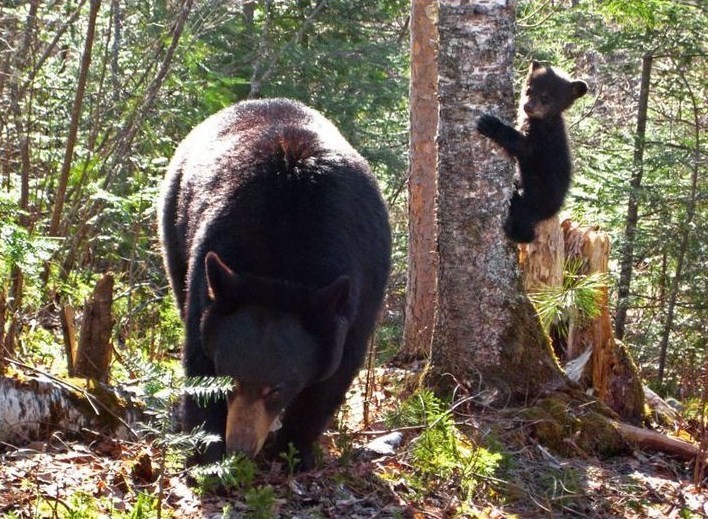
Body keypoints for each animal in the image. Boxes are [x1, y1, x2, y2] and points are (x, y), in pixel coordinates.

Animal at [158, 98, 392, 472]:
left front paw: (294, 450)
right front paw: (208, 452)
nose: (241, 447)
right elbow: (198, 357)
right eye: (230, 379)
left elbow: (334, 376)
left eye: (277, 388)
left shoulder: (363, 284)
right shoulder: (211, 269)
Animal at [478, 61, 588, 244]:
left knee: (523, 221)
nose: (527, 106)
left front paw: (490, 124)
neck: (542, 120)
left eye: (545, 98)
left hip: (535, 200)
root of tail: (555, 210)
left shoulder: (543, 138)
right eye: (529, 90)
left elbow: (523, 146)